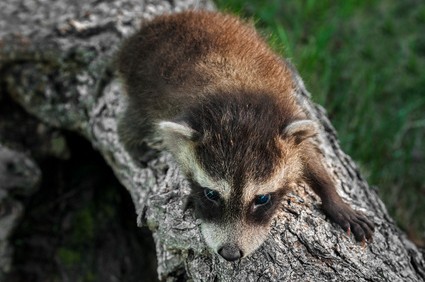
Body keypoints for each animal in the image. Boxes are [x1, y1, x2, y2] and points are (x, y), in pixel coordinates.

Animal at [114, 11, 372, 262]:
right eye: (211, 194)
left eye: (262, 199)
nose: (230, 254)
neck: (240, 109)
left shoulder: (284, 121)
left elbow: (309, 156)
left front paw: (333, 198)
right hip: (142, 88)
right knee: (135, 122)